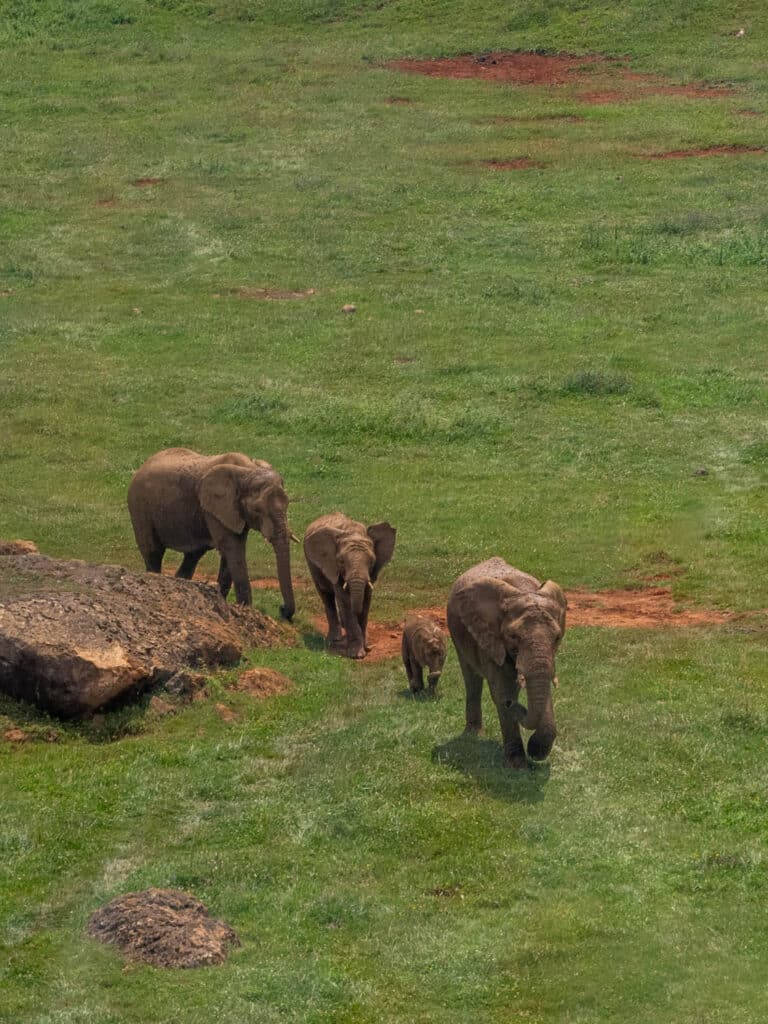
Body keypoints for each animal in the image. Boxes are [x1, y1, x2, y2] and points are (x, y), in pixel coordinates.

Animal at [126, 448, 296, 614]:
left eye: (288, 503)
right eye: (257, 510)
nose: (281, 609)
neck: (248, 470)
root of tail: (143, 465)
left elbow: (231, 552)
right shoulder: (214, 509)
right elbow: (233, 548)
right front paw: (245, 610)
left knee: (193, 556)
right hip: (140, 507)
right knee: (153, 552)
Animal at [303, 512, 397, 663]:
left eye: (372, 562)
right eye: (341, 561)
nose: (368, 647)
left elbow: (366, 600)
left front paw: (365, 647)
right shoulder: (333, 567)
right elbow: (345, 601)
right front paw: (357, 654)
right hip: (312, 564)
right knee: (326, 595)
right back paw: (334, 639)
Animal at [448, 561, 569, 770]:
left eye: (557, 637)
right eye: (513, 636)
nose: (514, 705)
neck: (524, 590)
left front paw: (535, 752)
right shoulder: (490, 637)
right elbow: (501, 690)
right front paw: (517, 765)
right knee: (472, 680)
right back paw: (474, 734)